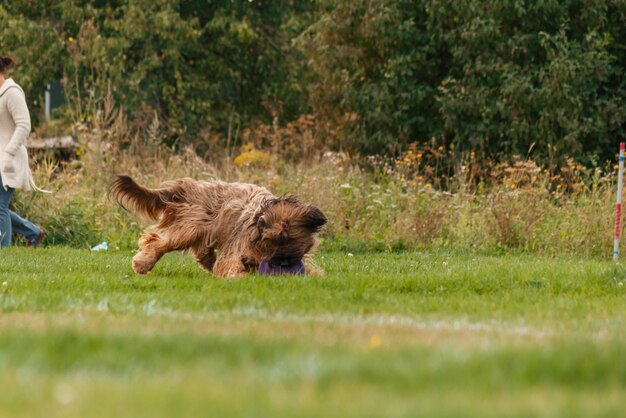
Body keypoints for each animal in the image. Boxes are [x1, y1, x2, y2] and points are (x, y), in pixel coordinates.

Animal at [107, 176, 326, 278]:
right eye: (269, 242)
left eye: (288, 242)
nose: (247, 260)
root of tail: (187, 187)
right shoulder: (238, 247)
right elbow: (229, 264)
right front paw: (241, 276)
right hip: (191, 225)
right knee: (158, 241)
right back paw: (142, 263)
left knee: (203, 253)